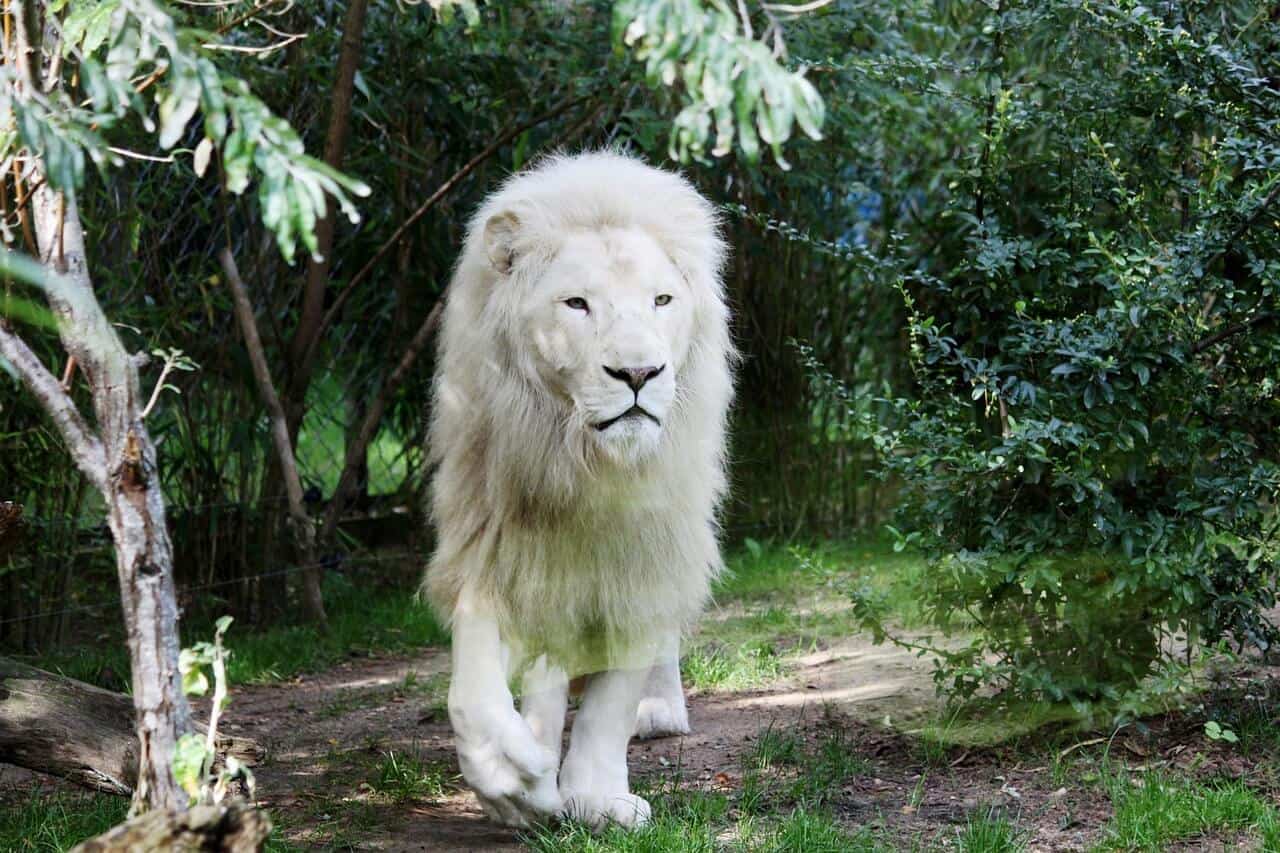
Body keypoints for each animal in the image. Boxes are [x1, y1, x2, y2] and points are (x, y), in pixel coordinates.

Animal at [422, 150, 734, 830]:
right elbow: (472, 686)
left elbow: (611, 702)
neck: (586, 465)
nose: (639, 373)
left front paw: (595, 798)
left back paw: (659, 712)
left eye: (662, 299)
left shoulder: (644, 554)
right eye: (576, 304)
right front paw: (513, 779)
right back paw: (537, 738)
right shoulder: (492, 539)